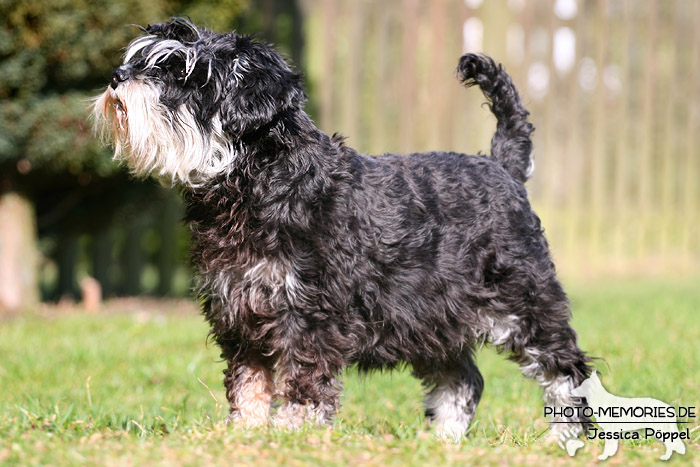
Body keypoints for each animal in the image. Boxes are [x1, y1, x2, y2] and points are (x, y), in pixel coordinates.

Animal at [93, 17, 592, 438]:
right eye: (142, 59)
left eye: (184, 75)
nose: (117, 76)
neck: (266, 181)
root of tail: (504, 166)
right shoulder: (240, 311)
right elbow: (249, 380)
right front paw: (245, 432)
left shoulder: (311, 314)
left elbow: (303, 378)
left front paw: (292, 432)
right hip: (432, 322)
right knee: (462, 378)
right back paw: (443, 440)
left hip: (526, 305)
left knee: (566, 371)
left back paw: (563, 437)